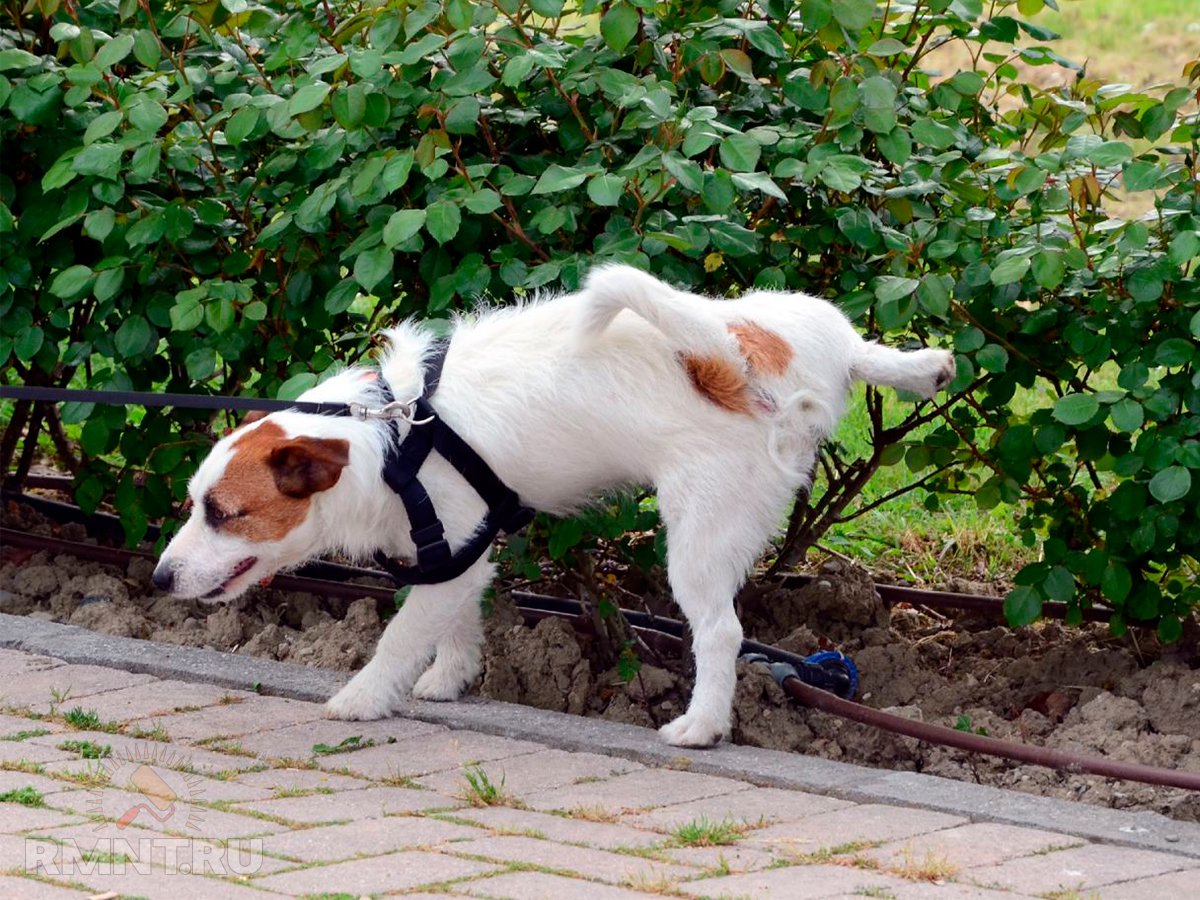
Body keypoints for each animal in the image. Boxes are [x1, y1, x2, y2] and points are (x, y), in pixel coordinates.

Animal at [152, 266, 955, 748]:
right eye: (194, 505)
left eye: (224, 513)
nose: (159, 579)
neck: (391, 432)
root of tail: (734, 358)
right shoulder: (462, 554)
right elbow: (456, 623)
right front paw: (449, 678)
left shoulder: (443, 551)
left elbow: (401, 637)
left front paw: (363, 696)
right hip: (797, 317)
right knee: (858, 346)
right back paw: (919, 366)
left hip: (699, 534)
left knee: (721, 632)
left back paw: (700, 725)